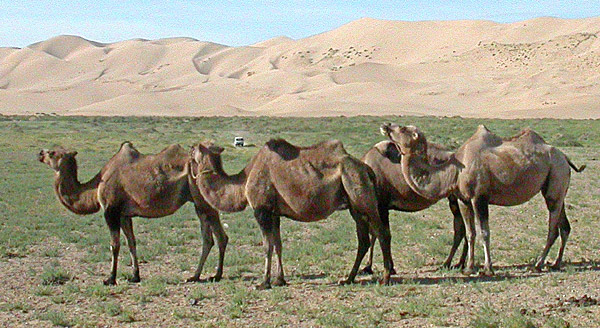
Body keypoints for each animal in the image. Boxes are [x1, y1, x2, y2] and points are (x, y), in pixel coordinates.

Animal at [38, 142, 227, 286]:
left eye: (53, 152)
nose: (40, 153)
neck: (96, 185)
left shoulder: (111, 211)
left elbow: (114, 245)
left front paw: (110, 279)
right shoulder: (124, 215)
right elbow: (131, 242)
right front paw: (135, 276)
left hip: (202, 201)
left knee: (218, 236)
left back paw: (215, 276)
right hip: (199, 203)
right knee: (209, 238)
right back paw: (196, 276)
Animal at [189, 140, 394, 288]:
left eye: (193, 150)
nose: (188, 150)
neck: (244, 180)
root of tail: (367, 169)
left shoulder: (261, 210)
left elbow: (267, 246)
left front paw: (264, 283)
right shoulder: (274, 213)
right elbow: (278, 245)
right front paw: (280, 280)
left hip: (361, 195)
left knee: (382, 234)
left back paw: (384, 278)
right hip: (354, 207)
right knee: (364, 240)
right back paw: (348, 279)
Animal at [360, 140, 468, 272]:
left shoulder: (382, 206)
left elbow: (383, 234)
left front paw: (386, 268)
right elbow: (377, 234)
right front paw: (370, 266)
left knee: (462, 229)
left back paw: (448, 263)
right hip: (454, 199)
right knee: (462, 228)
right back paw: (459, 263)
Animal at [380, 124, 584, 276]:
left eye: (403, 129)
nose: (386, 125)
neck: (454, 171)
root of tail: (565, 157)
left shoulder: (480, 197)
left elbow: (484, 232)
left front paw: (488, 268)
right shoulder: (464, 200)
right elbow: (471, 232)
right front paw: (469, 268)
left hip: (555, 176)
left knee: (553, 227)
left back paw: (538, 264)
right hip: (557, 186)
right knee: (564, 225)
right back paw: (556, 263)